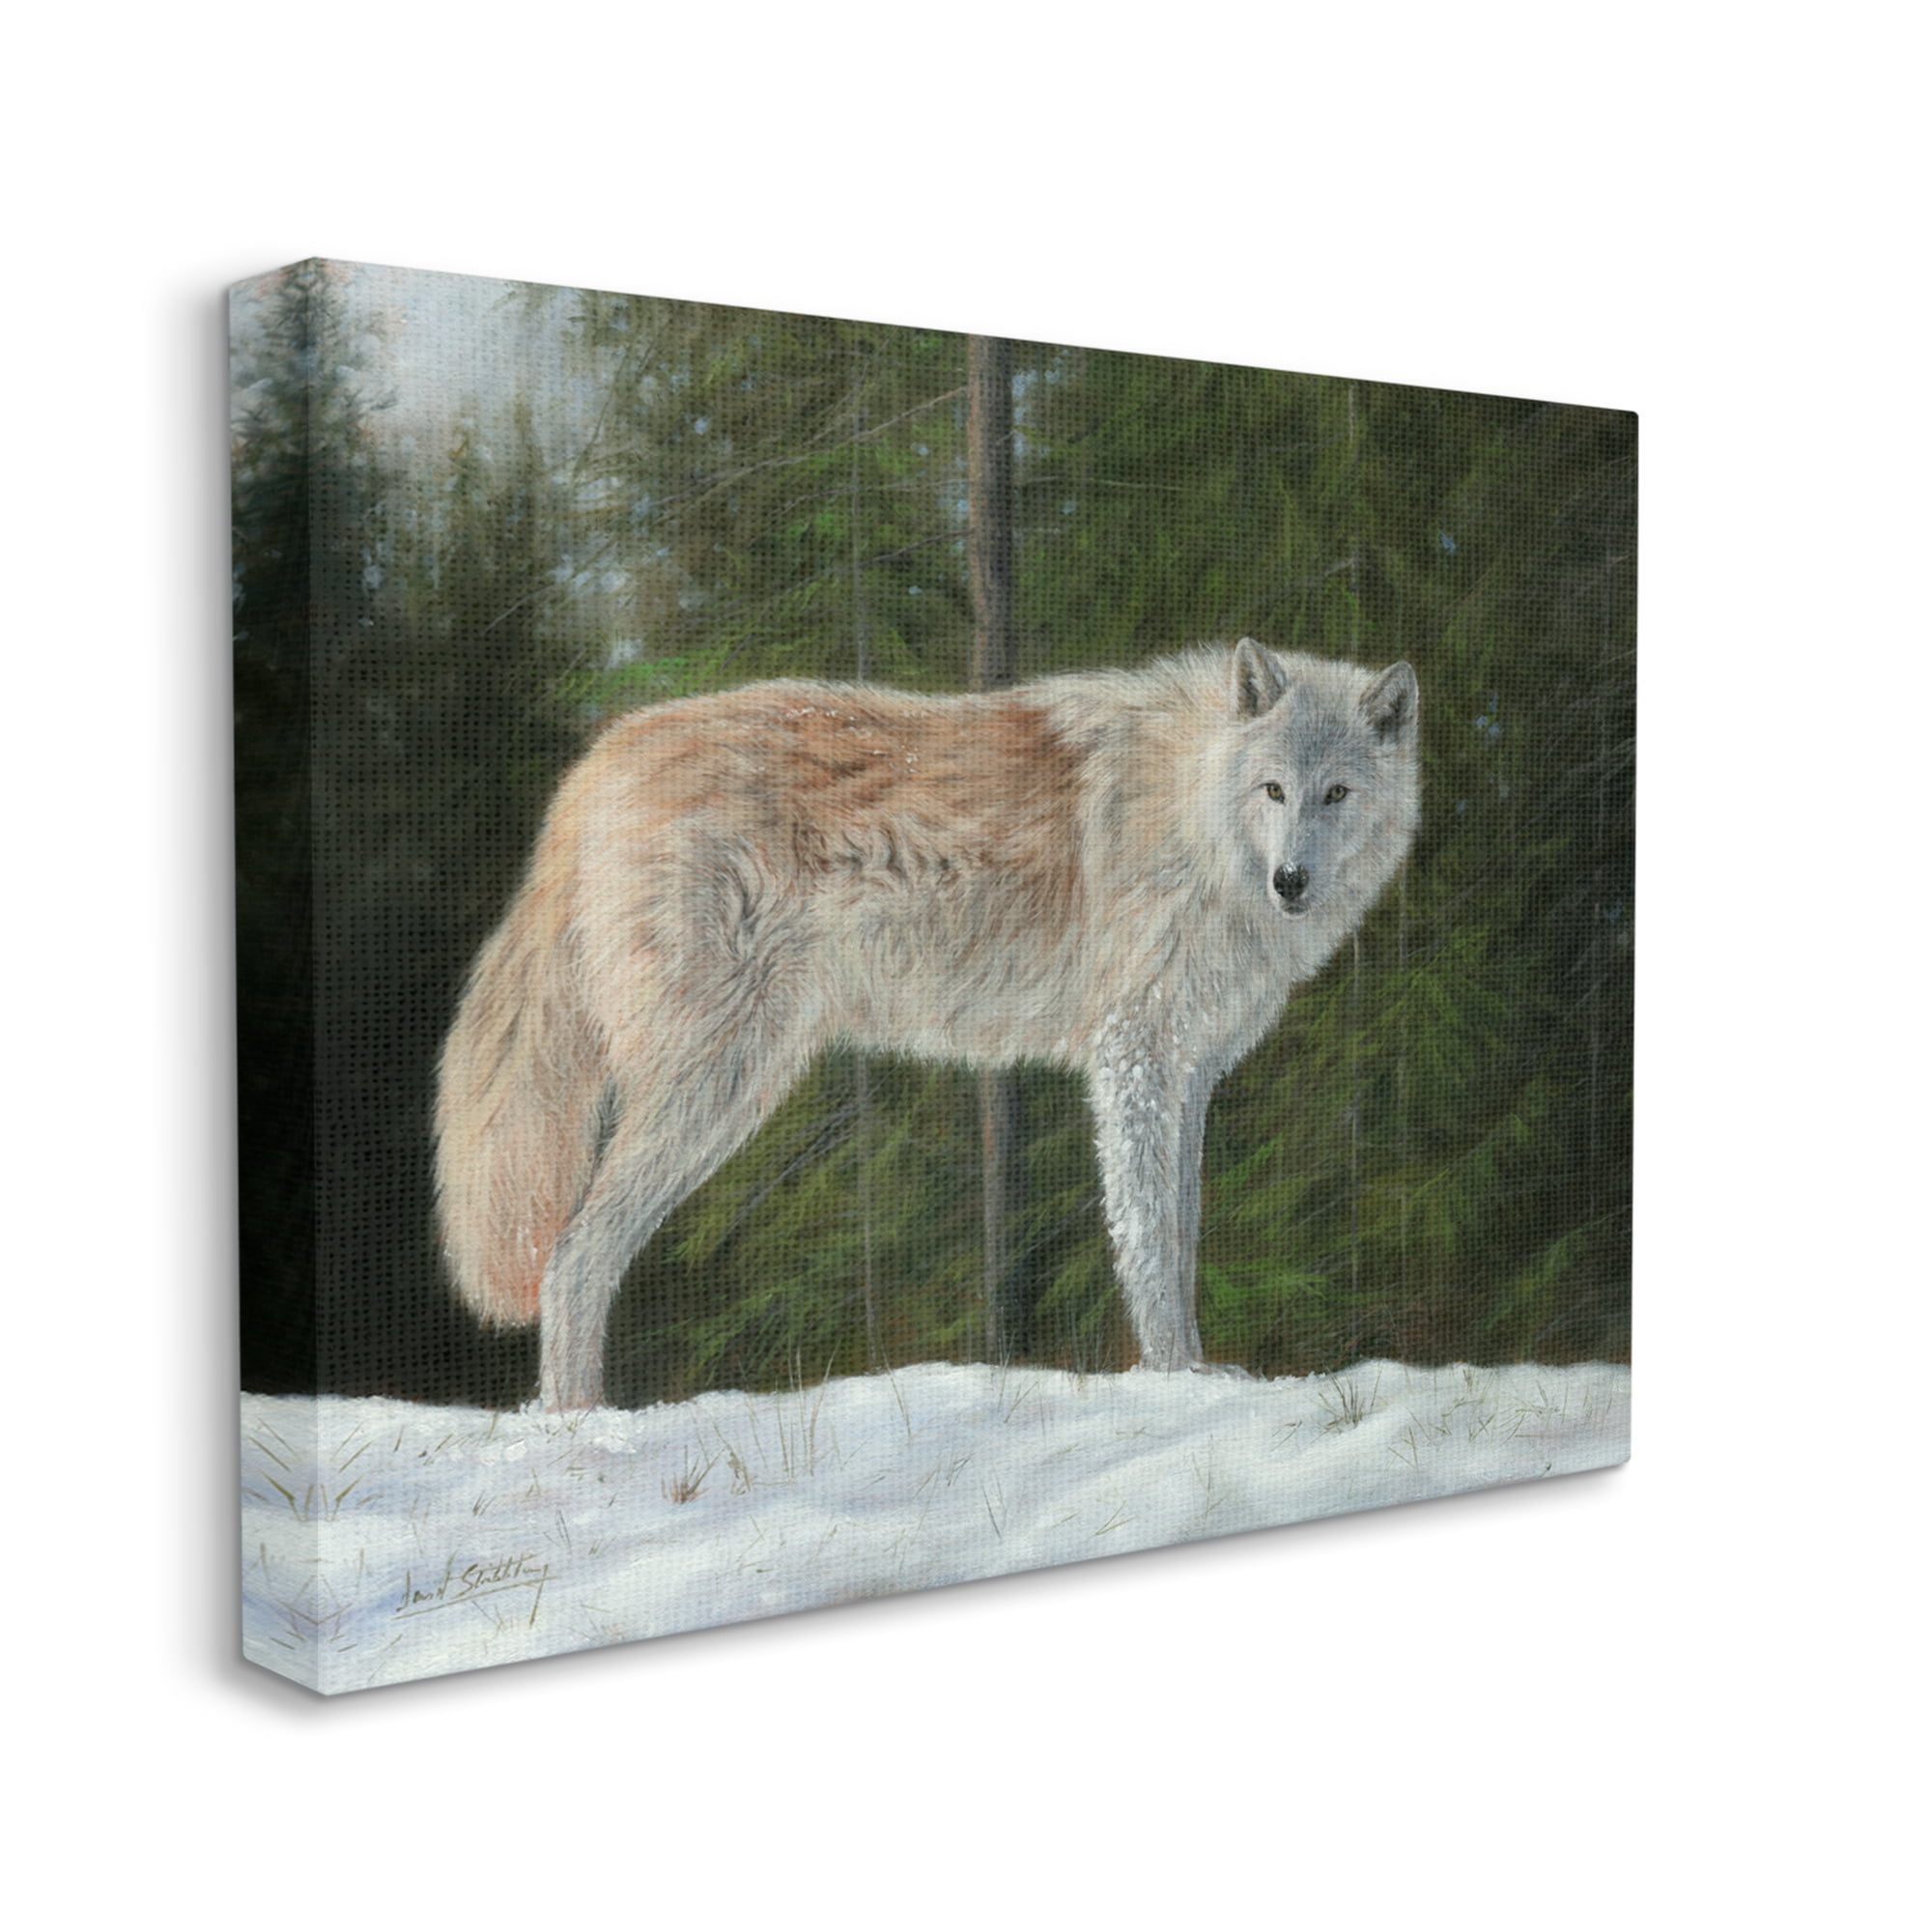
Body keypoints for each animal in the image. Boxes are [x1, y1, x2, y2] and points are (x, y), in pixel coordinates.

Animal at [435, 639, 1419, 1409]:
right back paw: (581, 1430)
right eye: (1274, 790)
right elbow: (1148, 1244)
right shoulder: (1132, 1057)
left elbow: (1181, 1237)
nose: (1291, 882)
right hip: (720, 1084)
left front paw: (1201, 1374)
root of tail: (598, 760)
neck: (1193, 809)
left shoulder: (1190, 1071)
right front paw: (1177, 1378)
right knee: (574, 1257)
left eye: (1336, 794)